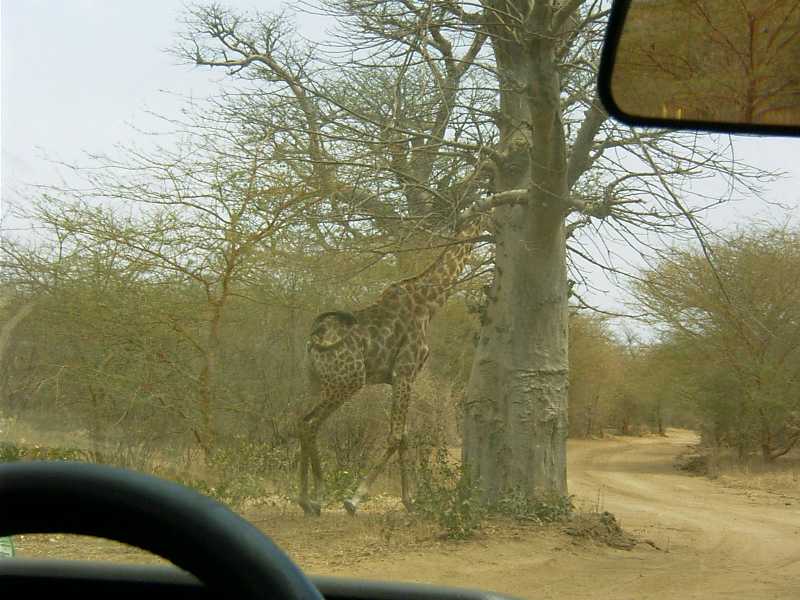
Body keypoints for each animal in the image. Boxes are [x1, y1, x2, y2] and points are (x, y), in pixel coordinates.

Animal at [296, 214, 488, 516]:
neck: (429, 303)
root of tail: (313, 341)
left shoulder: (397, 377)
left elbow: (405, 436)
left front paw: (410, 501)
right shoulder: (405, 372)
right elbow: (396, 436)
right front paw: (354, 499)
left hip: (317, 382)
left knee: (302, 420)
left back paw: (305, 500)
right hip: (347, 383)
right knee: (312, 424)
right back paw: (317, 496)